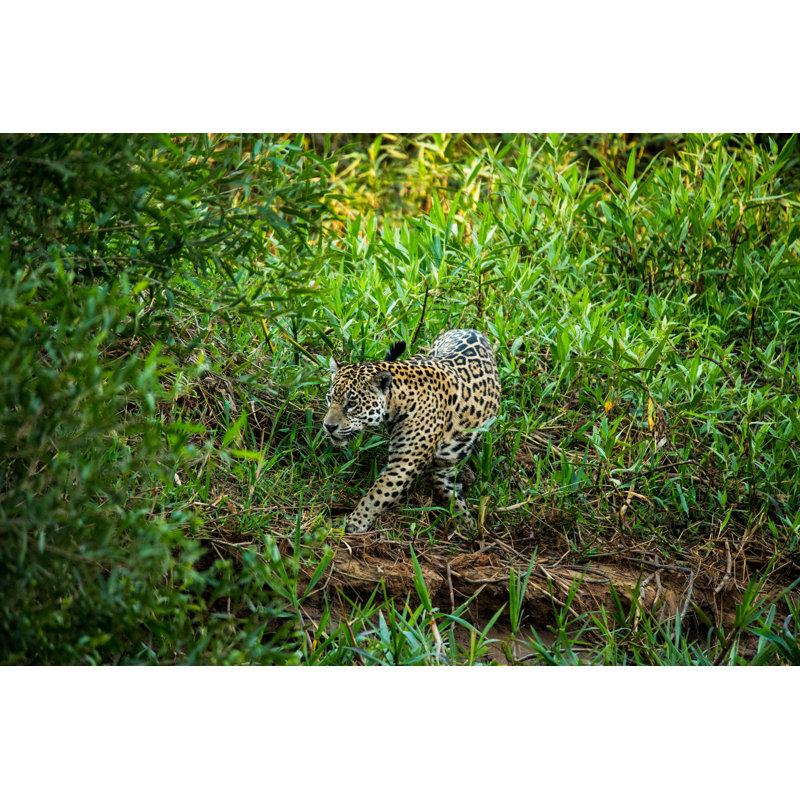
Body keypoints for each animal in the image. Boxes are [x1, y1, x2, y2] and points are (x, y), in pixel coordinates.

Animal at [323, 328, 501, 533]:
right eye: (329, 398)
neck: (398, 401)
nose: (328, 426)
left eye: (352, 403)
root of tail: (470, 329)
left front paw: (352, 522)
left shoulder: (405, 462)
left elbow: (377, 495)